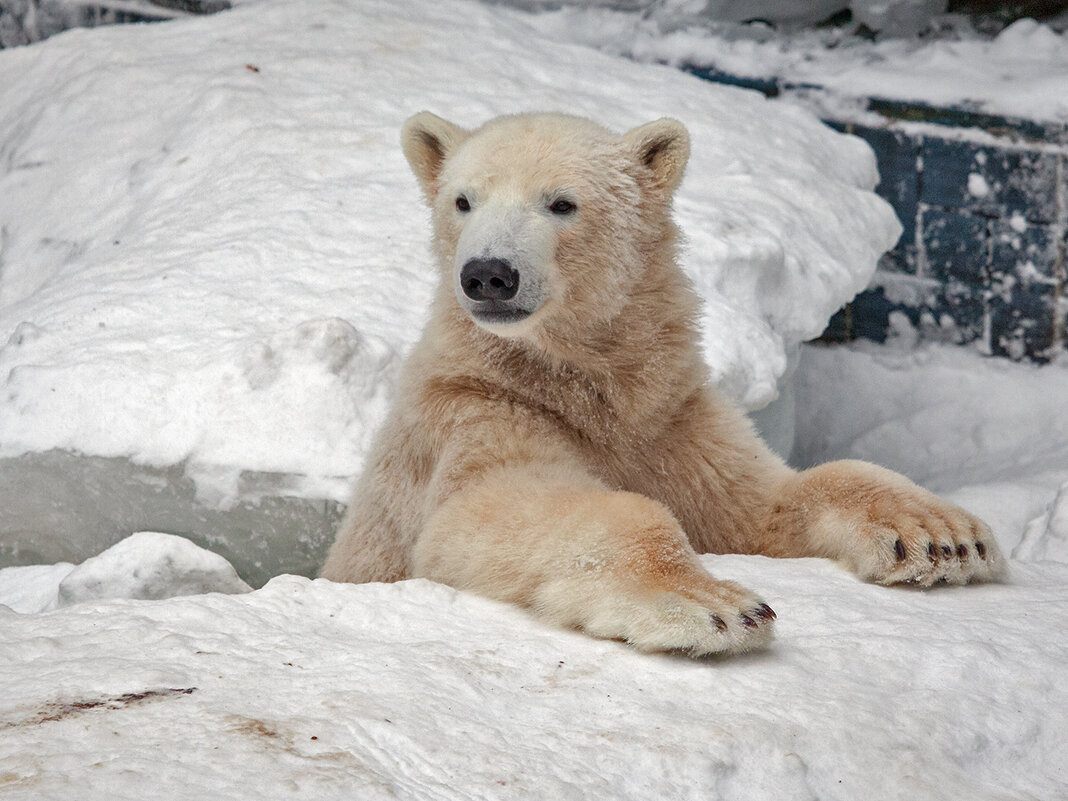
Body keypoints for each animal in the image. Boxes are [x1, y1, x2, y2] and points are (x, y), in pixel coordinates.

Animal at [320, 111, 1003, 653]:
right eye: (462, 201)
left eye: (561, 202)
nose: (489, 274)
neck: (584, 385)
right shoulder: (476, 410)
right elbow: (479, 517)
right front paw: (716, 606)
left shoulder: (671, 419)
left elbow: (759, 505)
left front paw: (943, 538)